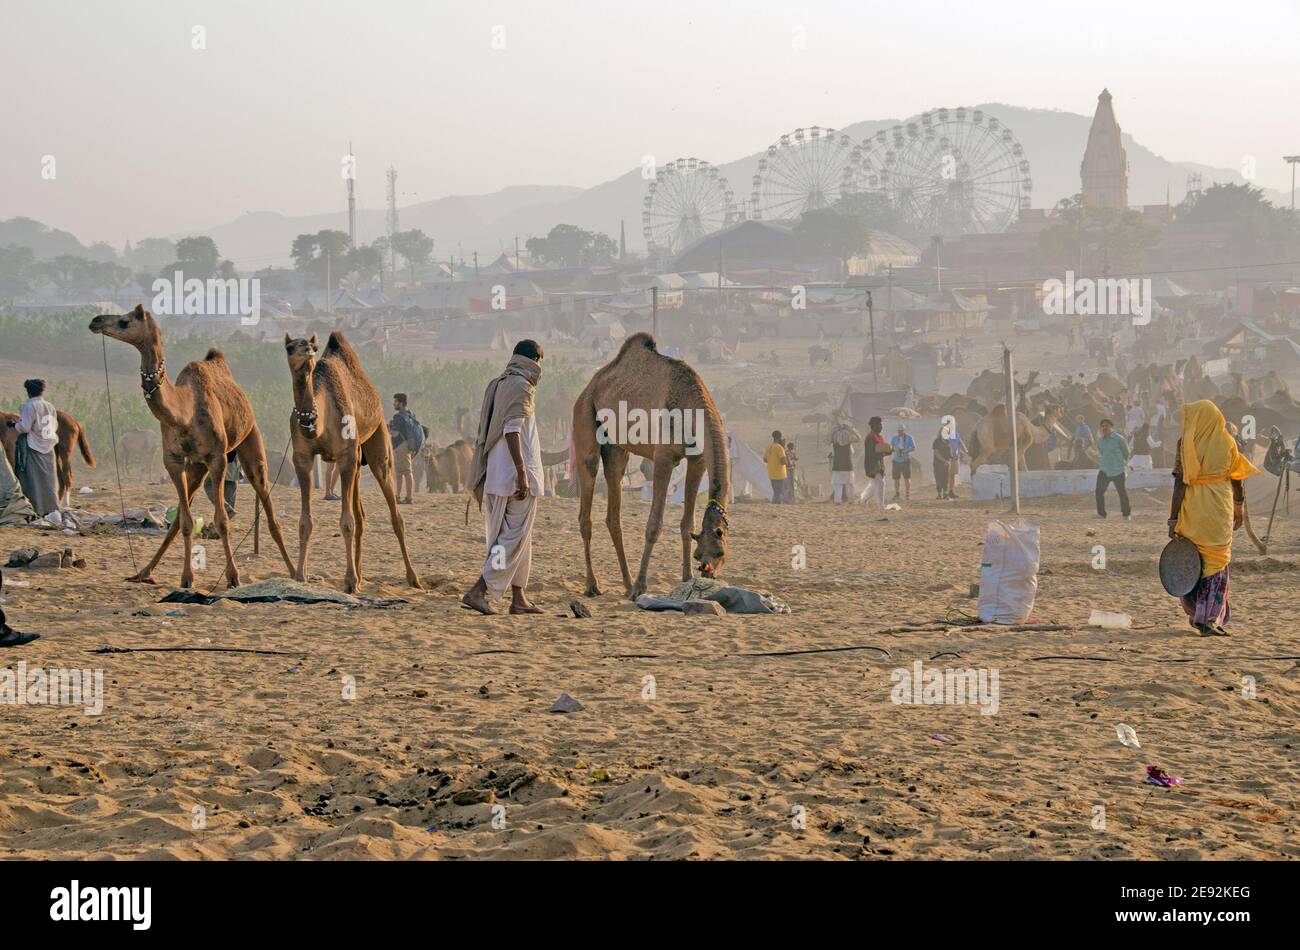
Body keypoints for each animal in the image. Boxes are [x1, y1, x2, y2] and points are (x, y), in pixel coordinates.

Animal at [89, 304, 295, 587]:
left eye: (124, 321)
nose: (95, 320)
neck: (184, 412)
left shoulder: (217, 458)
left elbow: (222, 520)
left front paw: (233, 576)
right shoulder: (173, 460)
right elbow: (185, 521)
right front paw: (186, 578)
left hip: (251, 443)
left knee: (269, 509)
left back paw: (296, 572)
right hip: (197, 467)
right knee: (178, 518)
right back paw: (143, 572)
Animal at [283, 330, 421, 590]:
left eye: (312, 347)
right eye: (289, 347)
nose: (307, 352)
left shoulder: (345, 456)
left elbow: (346, 522)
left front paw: (348, 581)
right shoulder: (302, 459)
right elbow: (305, 522)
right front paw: (299, 576)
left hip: (378, 443)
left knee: (394, 514)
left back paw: (412, 578)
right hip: (358, 458)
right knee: (361, 515)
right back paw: (359, 574)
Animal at [572, 335, 733, 597]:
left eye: (720, 552)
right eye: (701, 554)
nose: (707, 571)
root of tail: (590, 386)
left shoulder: (697, 459)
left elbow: (686, 523)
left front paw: (686, 578)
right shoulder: (663, 457)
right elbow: (654, 525)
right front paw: (641, 586)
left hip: (616, 448)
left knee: (613, 511)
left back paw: (626, 583)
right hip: (584, 416)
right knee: (587, 499)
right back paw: (593, 585)